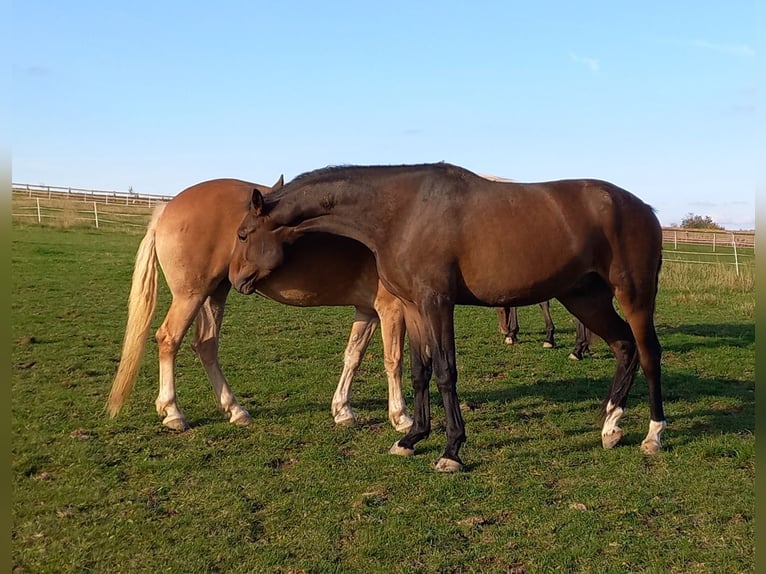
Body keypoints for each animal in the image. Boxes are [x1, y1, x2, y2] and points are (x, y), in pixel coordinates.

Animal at [106, 178, 414, 434]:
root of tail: (166, 209)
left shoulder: (368, 311)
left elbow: (353, 356)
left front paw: (342, 410)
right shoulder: (392, 310)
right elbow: (394, 360)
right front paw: (401, 417)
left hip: (213, 294)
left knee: (206, 344)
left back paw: (235, 410)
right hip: (189, 296)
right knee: (169, 339)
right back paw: (173, 412)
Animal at [231, 162, 668, 472]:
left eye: (243, 234)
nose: (235, 280)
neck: (401, 213)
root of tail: (643, 209)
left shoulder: (437, 303)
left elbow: (445, 372)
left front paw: (451, 449)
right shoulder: (412, 307)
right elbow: (418, 370)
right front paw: (411, 437)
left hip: (634, 297)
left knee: (648, 354)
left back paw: (653, 435)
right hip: (585, 298)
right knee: (623, 347)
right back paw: (611, 426)